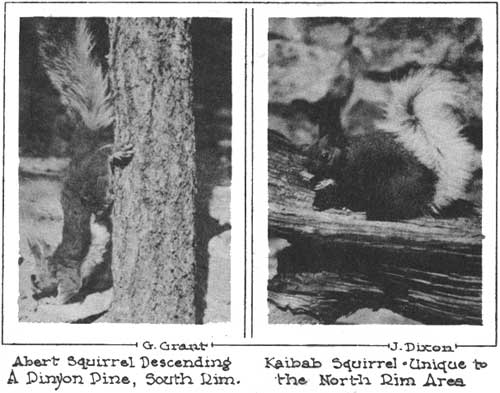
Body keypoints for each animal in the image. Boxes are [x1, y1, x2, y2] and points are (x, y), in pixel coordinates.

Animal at [27, 18, 133, 304]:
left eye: (33, 276)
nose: (33, 291)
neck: (53, 260)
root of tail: (86, 145)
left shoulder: (67, 268)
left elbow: (70, 283)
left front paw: (61, 298)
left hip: (91, 177)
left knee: (103, 165)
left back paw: (113, 158)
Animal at [300, 44, 480, 220]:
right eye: (309, 148)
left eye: (325, 155)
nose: (310, 167)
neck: (347, 154)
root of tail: (429, 195)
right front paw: (315, 181)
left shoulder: (356, 174)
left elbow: (347, 190)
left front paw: (331, 199)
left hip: (391, 186)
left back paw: (375, 213)